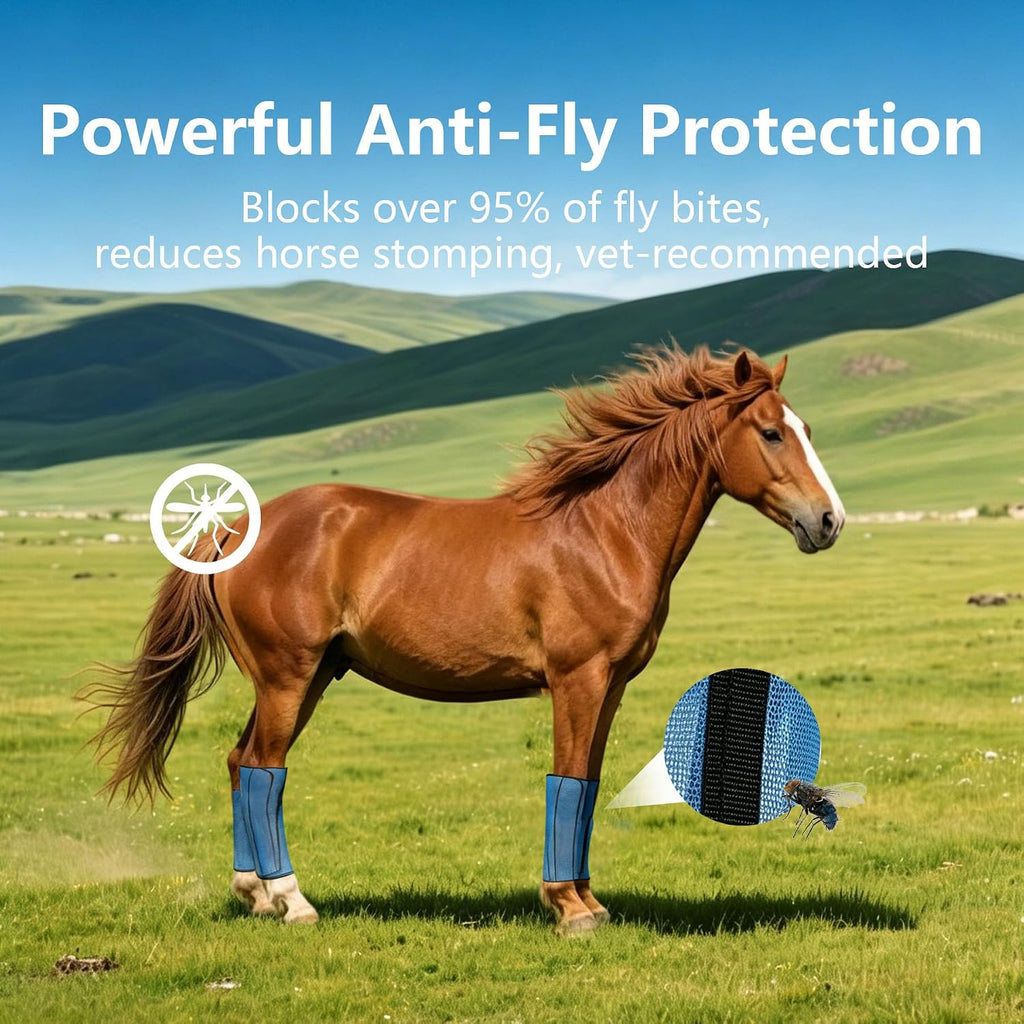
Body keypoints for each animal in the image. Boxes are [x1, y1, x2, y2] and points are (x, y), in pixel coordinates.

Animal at [85, 345, 845, 935]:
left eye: (807, 428)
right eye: (772, 434)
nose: (829, 521)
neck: (604, 531)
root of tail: (235, 527)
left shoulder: (610, 687)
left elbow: (590, 785)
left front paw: (589, 901)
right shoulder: (577, 679)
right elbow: (568, 781)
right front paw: (569, 909)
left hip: (307, 678)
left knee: (242, 763)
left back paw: (254, 894)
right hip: (286, 676)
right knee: (265, 770)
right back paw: (291, 901)